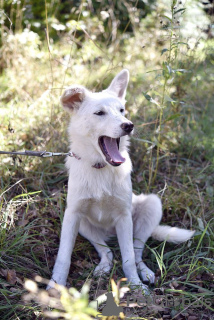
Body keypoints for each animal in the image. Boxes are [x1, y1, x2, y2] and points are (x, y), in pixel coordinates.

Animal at [47, 70, 195, 292]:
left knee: (137, 252)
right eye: (100, 113)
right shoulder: (72, 215)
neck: (101, 167)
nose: (128, 125)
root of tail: (110, 233)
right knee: (107, 251)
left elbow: (128, 258)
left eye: (122, 110)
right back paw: (102, 267)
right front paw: (55, 286)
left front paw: (136, 286)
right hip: (83, 225)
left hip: (150, 207)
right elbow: (63, 257)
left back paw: (145, 273)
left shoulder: (124, 218)